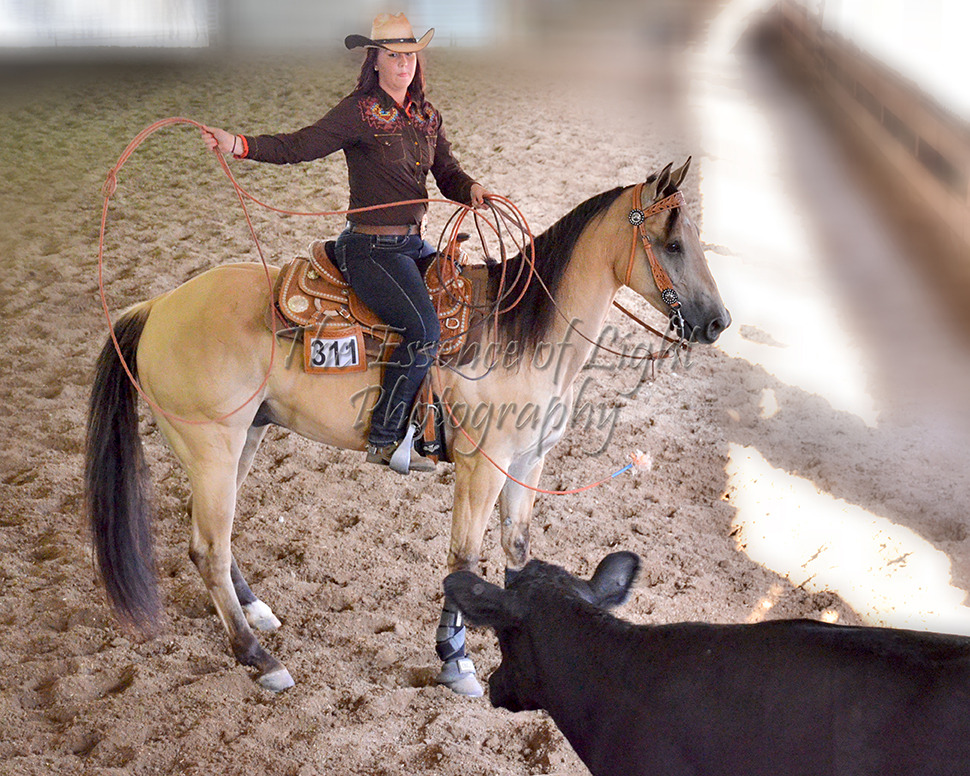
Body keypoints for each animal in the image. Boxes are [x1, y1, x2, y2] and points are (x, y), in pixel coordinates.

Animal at [85, 158, 730, 695]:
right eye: (673, 244)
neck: (523, 331)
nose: (719, 322)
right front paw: (455, 661)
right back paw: (259, 658)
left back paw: (257, 613)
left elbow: (518, 553)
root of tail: (157, 307)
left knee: (216, 543)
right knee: (208, 550)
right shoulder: (481, 467)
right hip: (212, 450)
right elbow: (463, 562)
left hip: (247, 437)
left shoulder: (528, 463)